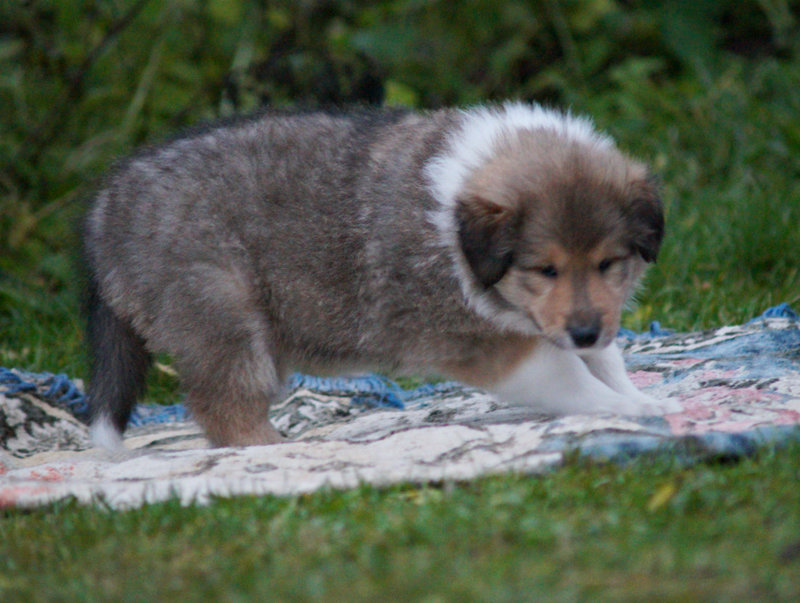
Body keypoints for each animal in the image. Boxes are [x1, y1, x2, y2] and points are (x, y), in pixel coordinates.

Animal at [84, 101, 680, 448]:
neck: (457, 229)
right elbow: (571, 376)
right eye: (544, 269)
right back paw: (276, 454)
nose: (583, 330)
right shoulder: (482, 343)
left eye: (608, 263)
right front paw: (629, 410)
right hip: (221, 316)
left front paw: (640, 395)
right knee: (224, 407)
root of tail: (105, 205)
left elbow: (605, 359)